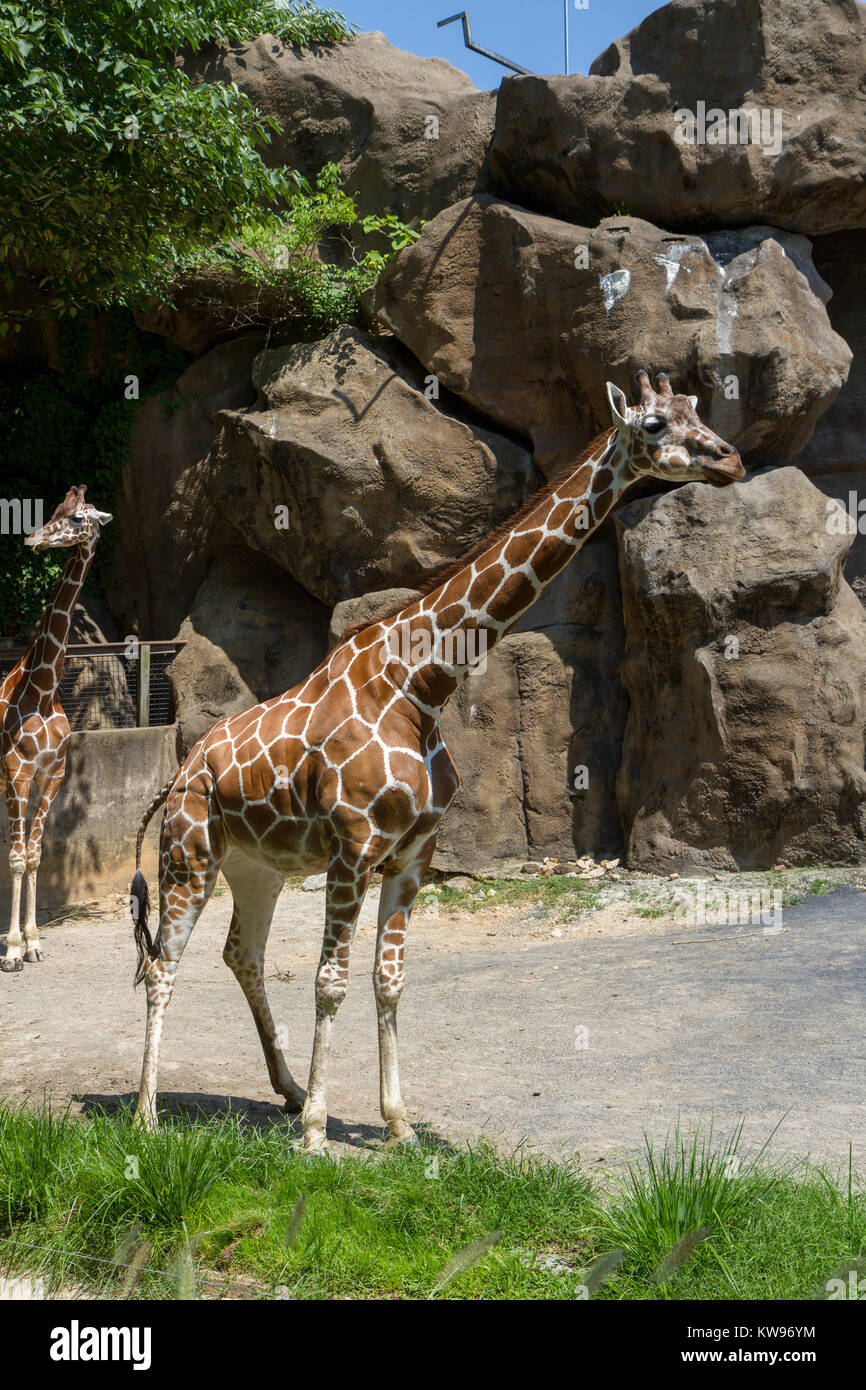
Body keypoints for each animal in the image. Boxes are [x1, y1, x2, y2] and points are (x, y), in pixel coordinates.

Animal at [128, 372, 745, 1150]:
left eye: (699, 410)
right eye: (656, 424)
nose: (730, 459)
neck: (421, 685)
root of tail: (179, 773)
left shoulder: (412, 853)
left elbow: (388, 979)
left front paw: (397, 1126)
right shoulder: (354, 847)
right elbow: (331, 980)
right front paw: (318, 1135)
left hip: (256, 866)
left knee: (243, 954)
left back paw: (285, 1090)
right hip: (189, 855)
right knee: (162, 965)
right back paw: (147, 1117)